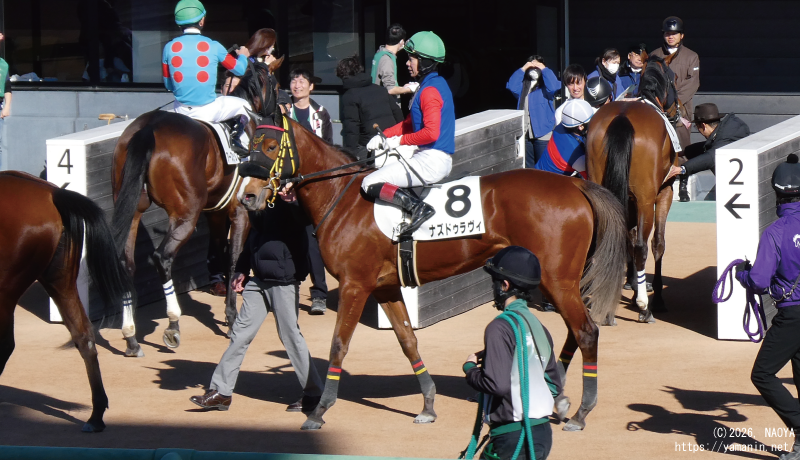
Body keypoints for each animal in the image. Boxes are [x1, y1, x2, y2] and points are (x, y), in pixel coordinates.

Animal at [0, 171, 132, 432]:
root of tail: (53, 193)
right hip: (59, 280)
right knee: (84, 336)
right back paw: (96, 415)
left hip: (6, 288)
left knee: (5, 344)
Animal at [110, 58, 282, 357]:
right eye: (277, 84)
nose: (277, 114)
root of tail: (148, 128)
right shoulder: (240, 212)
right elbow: (232, 258)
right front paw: (231, 318)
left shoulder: (215, 214)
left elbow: (219, 253)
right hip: (185, 215)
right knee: (162, 257)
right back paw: (173, 325)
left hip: (133, 210)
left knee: (126, 262)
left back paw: (131, 337)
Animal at [236, 110, 628, 431]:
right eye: (248, 148)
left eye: (271, 146)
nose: (249, 196)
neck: (343, 198)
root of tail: (574, 183)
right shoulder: (385, 287)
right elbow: (408, 340)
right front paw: (427, 405)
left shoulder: (353, 285)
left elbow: (338, 345)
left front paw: (319, 410)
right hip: (557, 280)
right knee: (575, 332)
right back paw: (557, 394)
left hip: (557, 279)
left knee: (586, 332)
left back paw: (580, 412)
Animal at [585, 56, 682, 322]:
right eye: (674, 77)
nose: (677, 110)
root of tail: (622, 118)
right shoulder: (663, 192)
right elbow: (657, 243)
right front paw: (654, 297)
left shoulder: (627, 199)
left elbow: (627, 236)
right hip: (646, 199)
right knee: (641, 245)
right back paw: (644, 307)